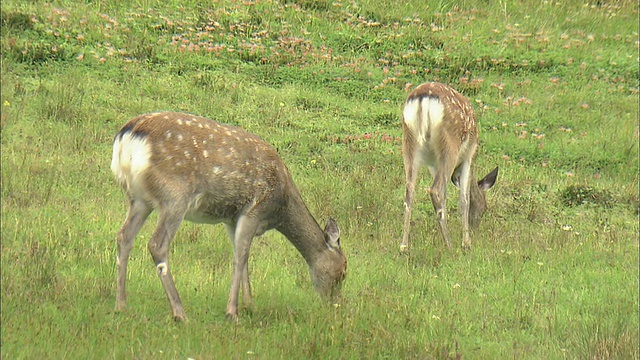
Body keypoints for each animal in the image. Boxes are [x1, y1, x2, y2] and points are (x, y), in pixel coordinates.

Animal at [112, 111, 348, 322]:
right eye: (344, 270)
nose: (335, 303)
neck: (280, 208)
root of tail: (128, 136)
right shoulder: (254, 210)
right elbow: (241, 256)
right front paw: (232, 312)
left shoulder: (231, 218)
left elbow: (241, 256)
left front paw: (249, 304)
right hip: (175, 195)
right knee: (157, 244)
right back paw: (180, 313)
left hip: (139, 199)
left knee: (124, 236)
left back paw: (122, 304)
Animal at [400, 82, 500, 252]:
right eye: (484, 207)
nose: (475, 227)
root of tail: (423, 97)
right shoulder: (469, 156)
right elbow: (464, 199)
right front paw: (466, 243)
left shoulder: (433, 164)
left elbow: (445, 198)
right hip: (450, 144)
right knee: (435, 190)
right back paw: (450, 245)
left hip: (409, 142)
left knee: (410, 191)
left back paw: (404, 246)